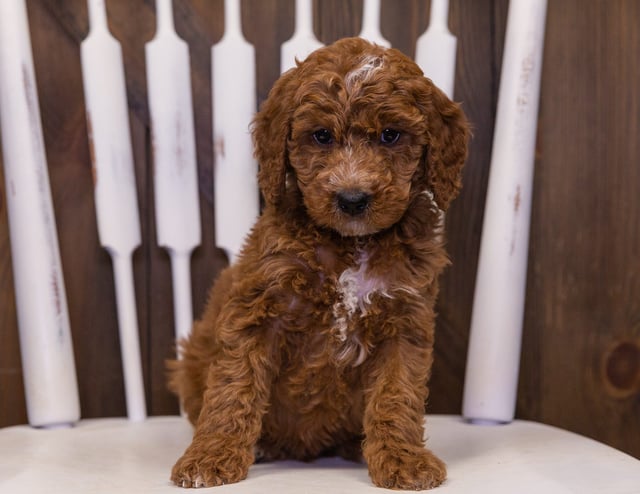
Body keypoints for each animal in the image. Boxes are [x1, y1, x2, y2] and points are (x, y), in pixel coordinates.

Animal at [169, 36, 470, 488]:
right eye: (322, 135)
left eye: (390, 135)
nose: (352, 199)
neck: (351, 244)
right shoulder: (258, 308)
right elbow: (233, 386)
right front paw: (211, 456)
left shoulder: (405, 318)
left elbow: (397, 395)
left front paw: (403, 460)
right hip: (190, 362)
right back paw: (264, 446)